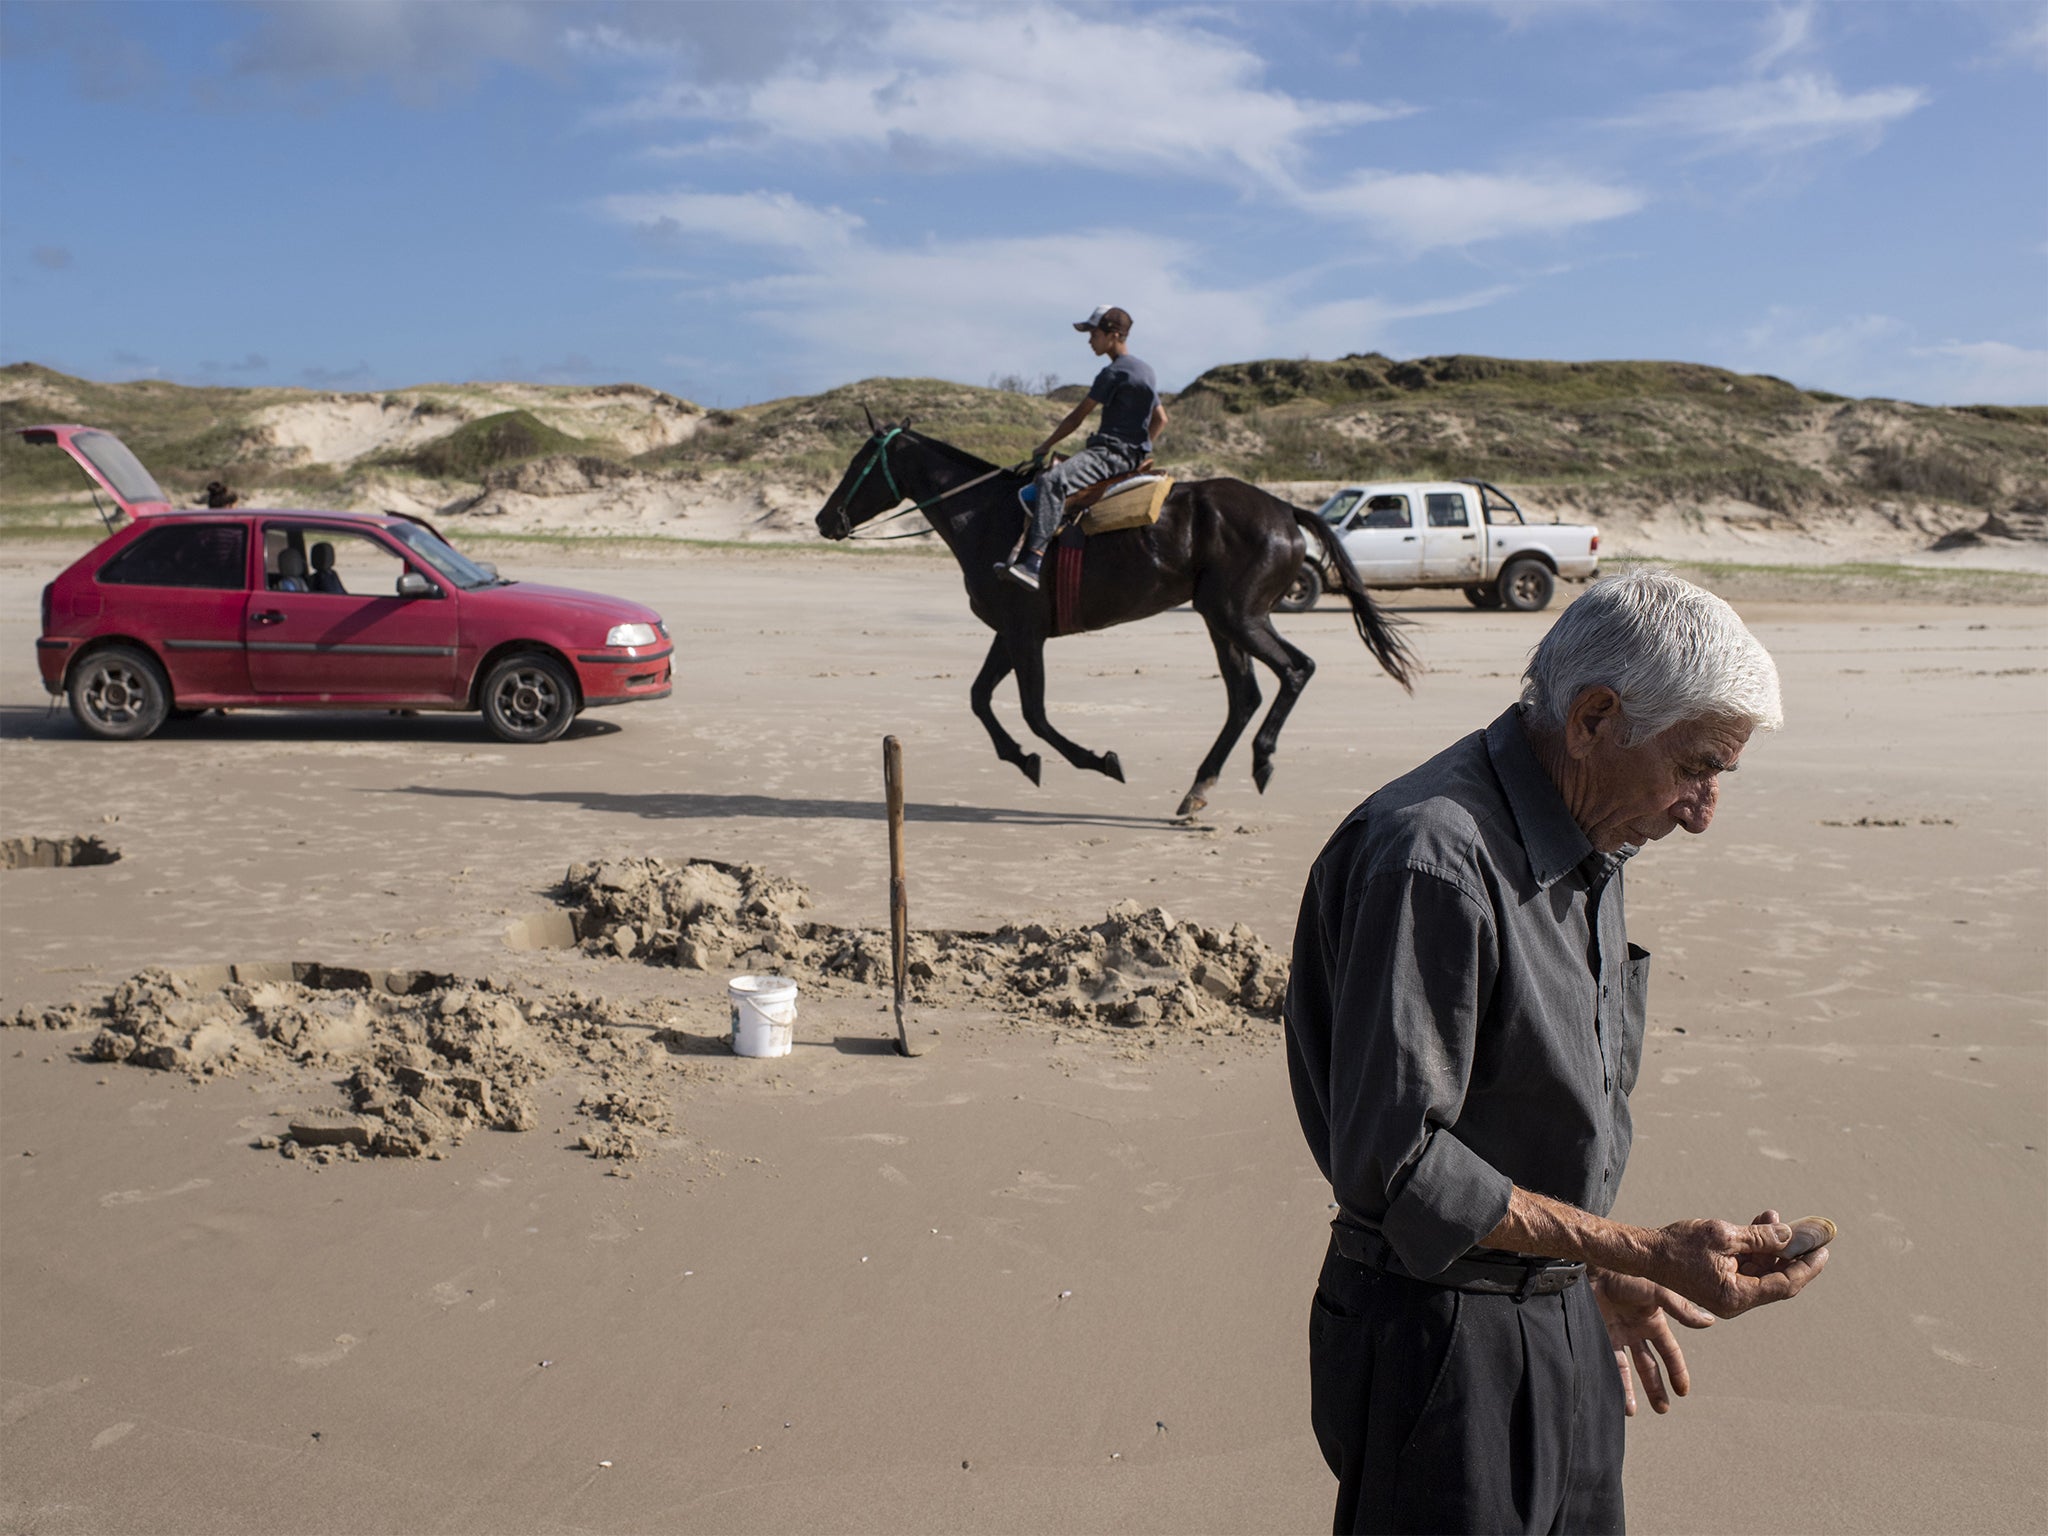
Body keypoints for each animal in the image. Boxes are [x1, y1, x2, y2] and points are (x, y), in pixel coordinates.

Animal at [811, 421, 1409, 819]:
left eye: (860, 464)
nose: (822, 519)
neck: (985, 516)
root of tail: (1286, 509)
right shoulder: (1011, 632)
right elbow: (981, 699)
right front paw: (1020, 759)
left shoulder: (1025, 634)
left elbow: (1034, 713)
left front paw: (1096, 760)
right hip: (1220, 621)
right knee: (1245, 696)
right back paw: (1198, 789)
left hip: (1238, 615)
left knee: (1295, 670)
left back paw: (1260, 761)